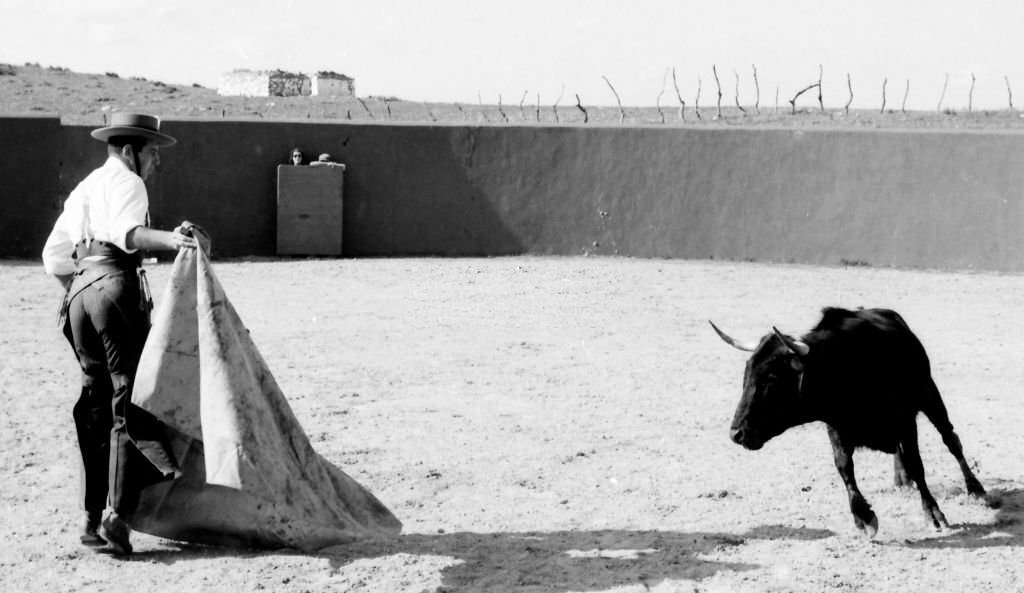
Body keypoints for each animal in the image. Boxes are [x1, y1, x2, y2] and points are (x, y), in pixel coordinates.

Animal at [708, 307, 987, 536]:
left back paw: (975, 489)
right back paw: (902, 480)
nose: (737, 434)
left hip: (930, 395)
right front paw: (863, 517)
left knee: (951, 440)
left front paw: (933, 513)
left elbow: (918, 464)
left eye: (772, 377)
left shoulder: (907, 421)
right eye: (746, 372)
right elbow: (844, 468)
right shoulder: (836, 427)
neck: (847, 368)